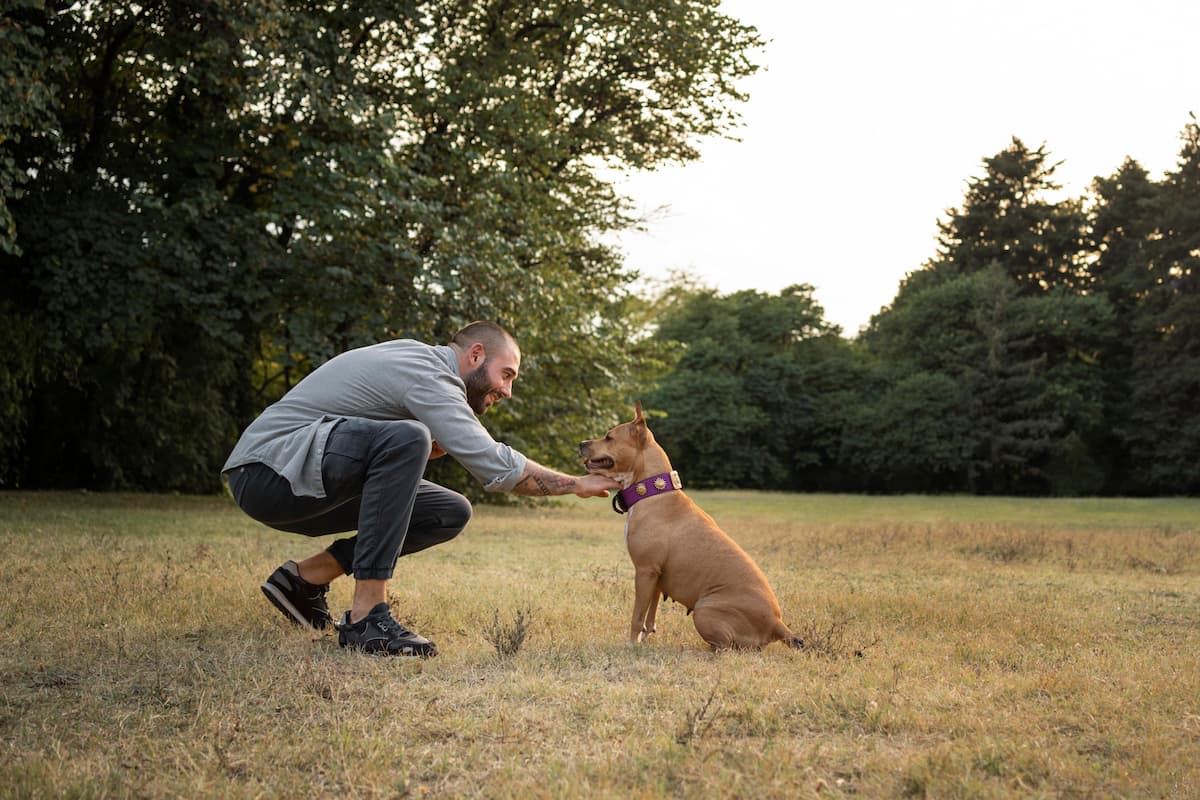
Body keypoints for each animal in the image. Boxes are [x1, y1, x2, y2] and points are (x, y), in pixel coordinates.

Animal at [583, 400, 806, 652]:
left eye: (609, 437)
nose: (581, 444)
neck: (652, 490)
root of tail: (778, 624)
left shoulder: (645, 570)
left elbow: (637, 616)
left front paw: (632, 645)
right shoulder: (656, 575)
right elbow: (650, 613)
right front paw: (645, 638)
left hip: (704, 610)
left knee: (724, 648)